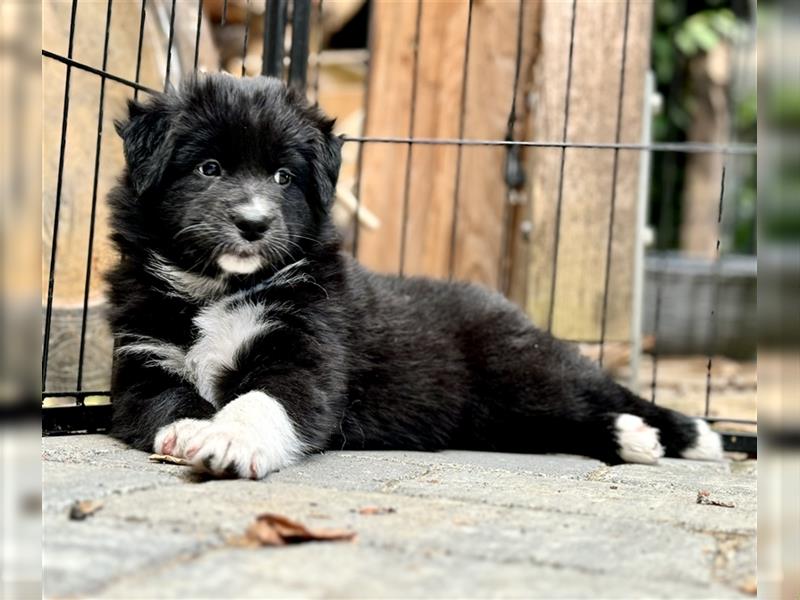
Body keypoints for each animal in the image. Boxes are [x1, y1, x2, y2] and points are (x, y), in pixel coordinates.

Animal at [103, 75, 720, 478]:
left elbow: (265, 398)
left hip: (524, 370)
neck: (219, 289)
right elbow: (168, 399)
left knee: (595, 394)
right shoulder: (141, 362)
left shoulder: (306, 349)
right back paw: (635, 439)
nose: (253, 224)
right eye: (209, 168)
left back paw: (679, 435)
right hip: (498, 415)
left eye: (283, 177)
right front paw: (191, 429)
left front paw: (228, 438)